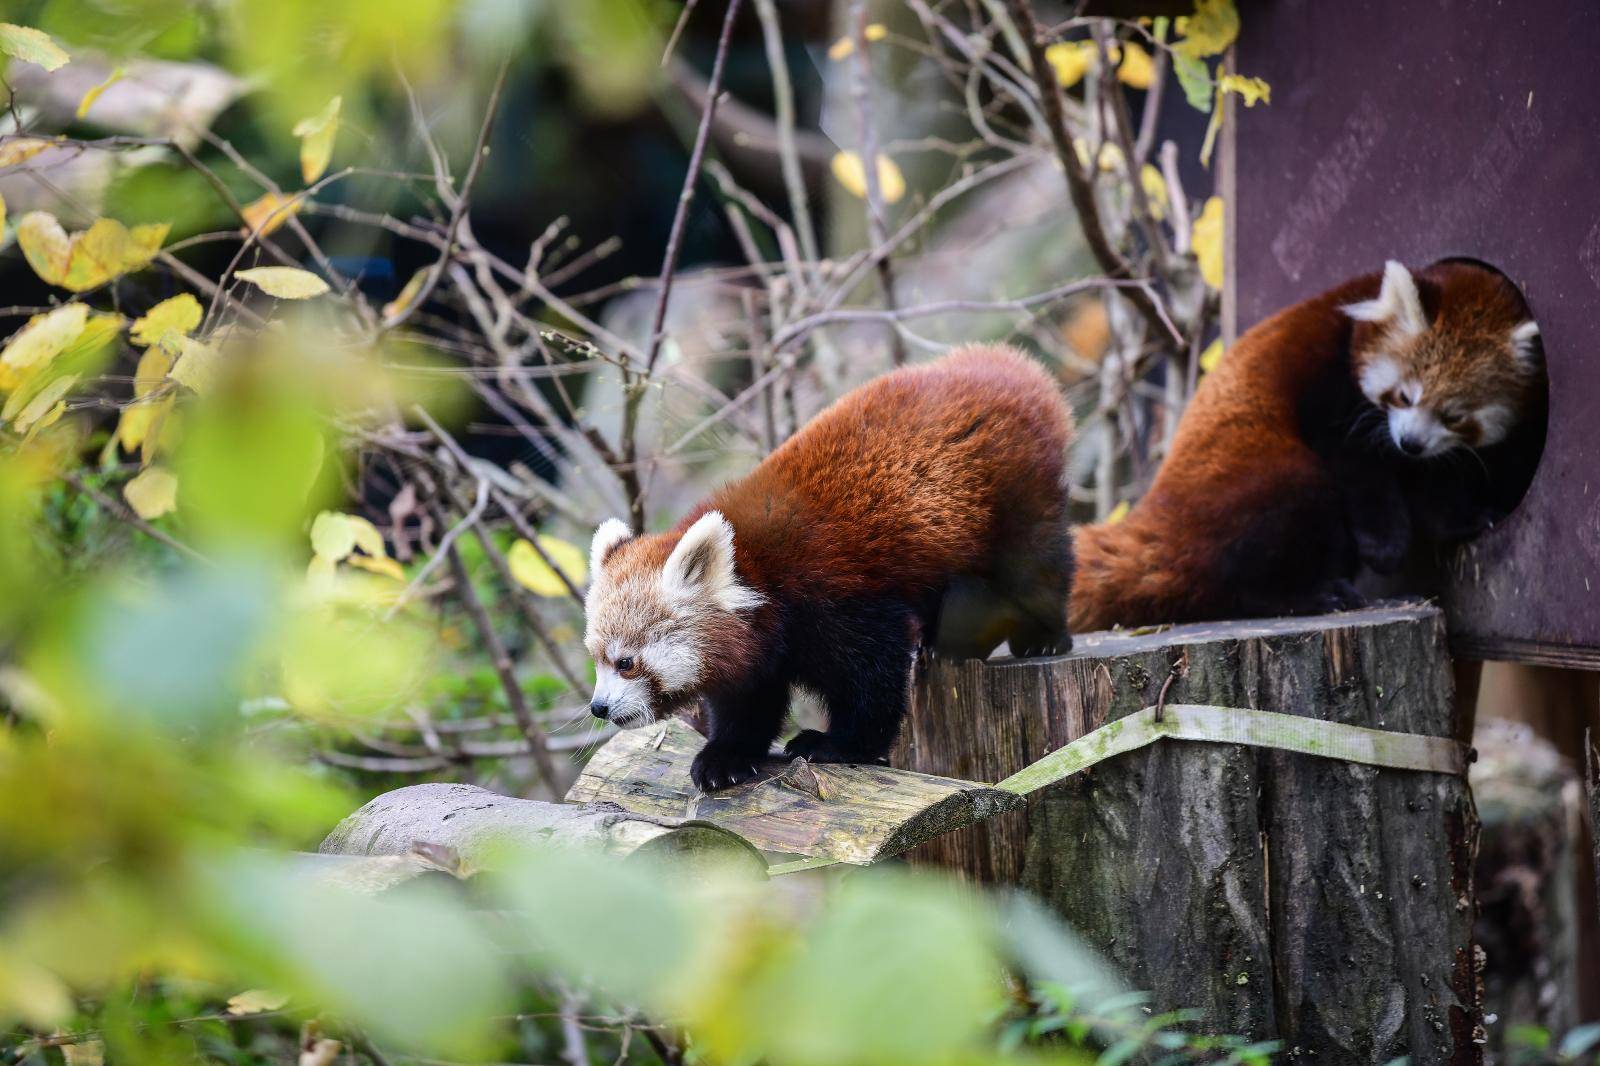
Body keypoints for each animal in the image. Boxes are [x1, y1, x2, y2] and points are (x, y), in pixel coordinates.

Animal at [582, 342, 1068, 787]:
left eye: (626, 662)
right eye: (597, 659)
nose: (598, 707)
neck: (757, 572)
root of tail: (1001, 363)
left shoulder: (836, 595)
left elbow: (872, 677)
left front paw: (842, 745)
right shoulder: (762, 645)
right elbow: (749, 699)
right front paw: (727, 756)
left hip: (1014, 489)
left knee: (1034, 563)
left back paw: (1042, 637)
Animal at [1068, 257, 1542, 630]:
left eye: (1454, 415)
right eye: (1405, 395)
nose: (1410, 443)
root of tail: (1160, 514)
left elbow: (1435, 486)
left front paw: (1469, 519)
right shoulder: (1328, 389)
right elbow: (1357, 467)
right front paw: (1386, 546)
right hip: (1261, 478)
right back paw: (1312, 595)